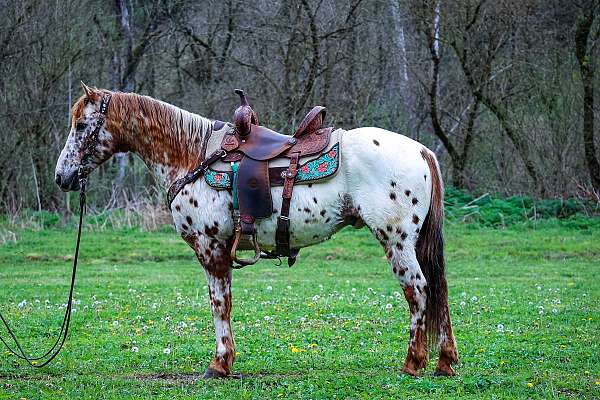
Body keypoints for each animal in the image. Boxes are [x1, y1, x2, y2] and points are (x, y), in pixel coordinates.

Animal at [56, 84, 460, 378]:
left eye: (81, 126)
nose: (62, 177)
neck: (191, 155)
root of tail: (422, 151)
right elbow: (225, 303)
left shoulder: (211, 248)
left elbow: (219, 304)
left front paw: (219, 364)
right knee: (437, 290)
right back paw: (444, 362)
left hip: (397, 241)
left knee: (418, 290)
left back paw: (413, 362)